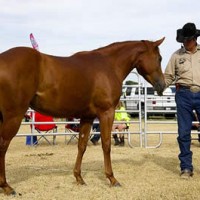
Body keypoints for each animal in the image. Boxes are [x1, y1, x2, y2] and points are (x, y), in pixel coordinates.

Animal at [0, 37, 165, 195]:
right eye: (159, 58)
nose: (162, 85)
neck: (109, 65)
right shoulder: (107, 113)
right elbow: (106, 144)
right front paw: (112, 178)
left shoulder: (87, 117)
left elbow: (82, 145)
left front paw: (79, 177)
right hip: (13, 116)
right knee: (3, 145)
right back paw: (6, 186)